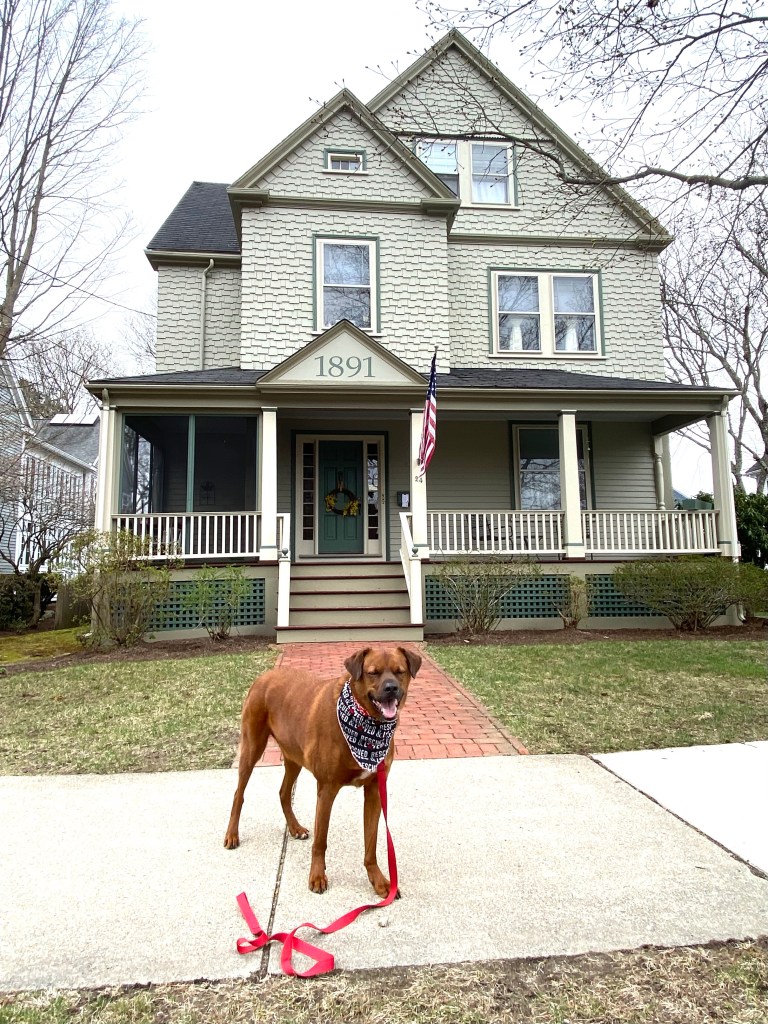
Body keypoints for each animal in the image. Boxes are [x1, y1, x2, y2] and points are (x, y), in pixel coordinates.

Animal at [224, 645, 421, 896]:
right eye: (373, 673)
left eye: (400, 671)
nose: (391, 688)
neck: (366, 726)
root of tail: (263, 676)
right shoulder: (327, 788)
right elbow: (321, 840)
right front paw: (317, 876)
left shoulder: (375, 790)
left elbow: (371, 842)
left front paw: (377, 879)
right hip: (252, 747)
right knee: (238, 793)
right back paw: (232, 834)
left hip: (293, 756)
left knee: (283, 792)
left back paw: (295, 827)